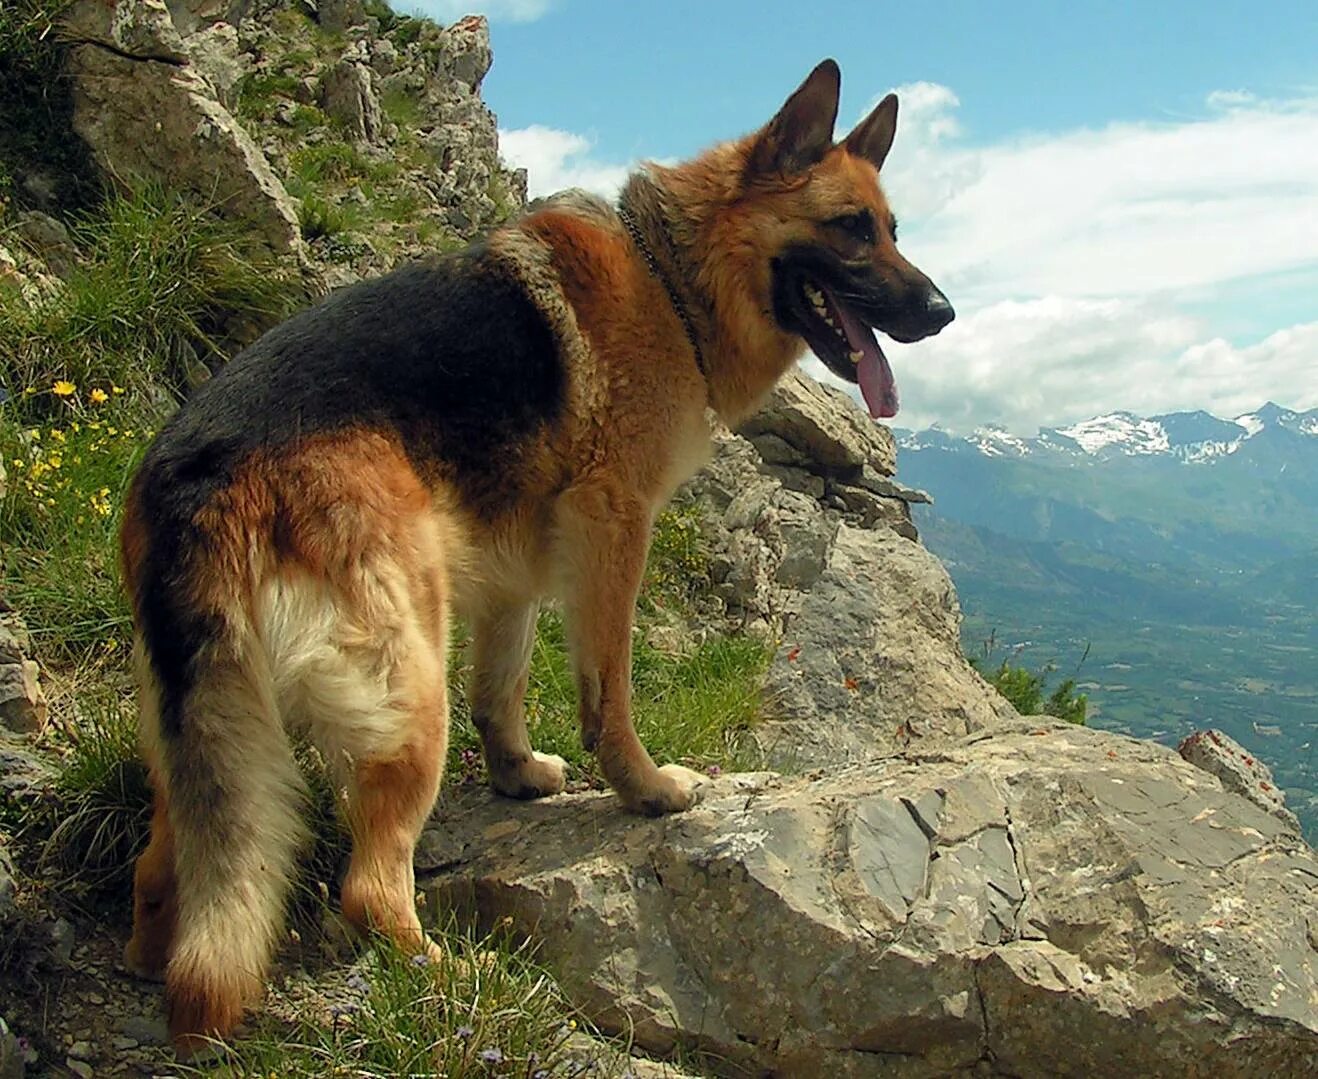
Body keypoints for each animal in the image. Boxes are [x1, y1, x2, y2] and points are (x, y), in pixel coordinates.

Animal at [121, 56, 948, 1048]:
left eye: (894, 230)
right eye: (850, 228)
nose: (943, 311)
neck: (674, 275)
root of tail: (195, 476)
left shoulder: (516, 563)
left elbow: (503, 684)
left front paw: (516, 773)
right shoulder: (613, 526)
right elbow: (608, 690)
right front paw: (642, 788)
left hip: (213, 727)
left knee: (169, 870)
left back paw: (152, 965)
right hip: (409, 689)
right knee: (368, 888)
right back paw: (448, 976)